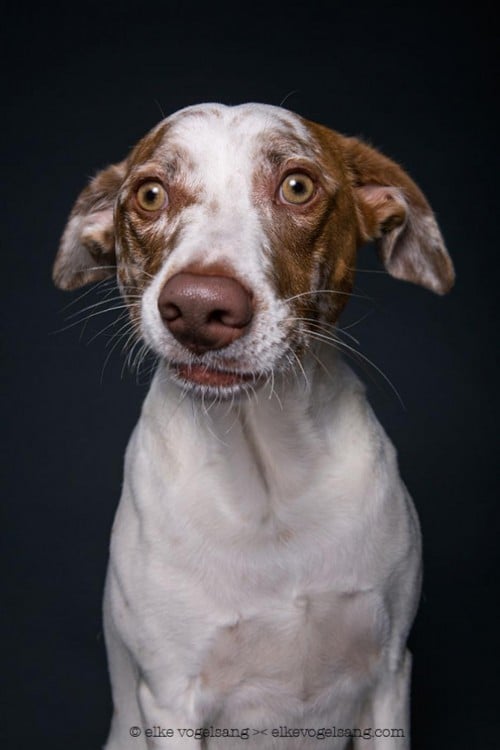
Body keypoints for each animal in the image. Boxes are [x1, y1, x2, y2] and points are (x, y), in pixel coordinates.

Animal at [53, 103, 454, 748]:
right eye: (149, 194)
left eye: (297, 186)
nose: (198, 308)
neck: (267, 476)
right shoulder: (169, 700)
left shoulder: (390, 675)